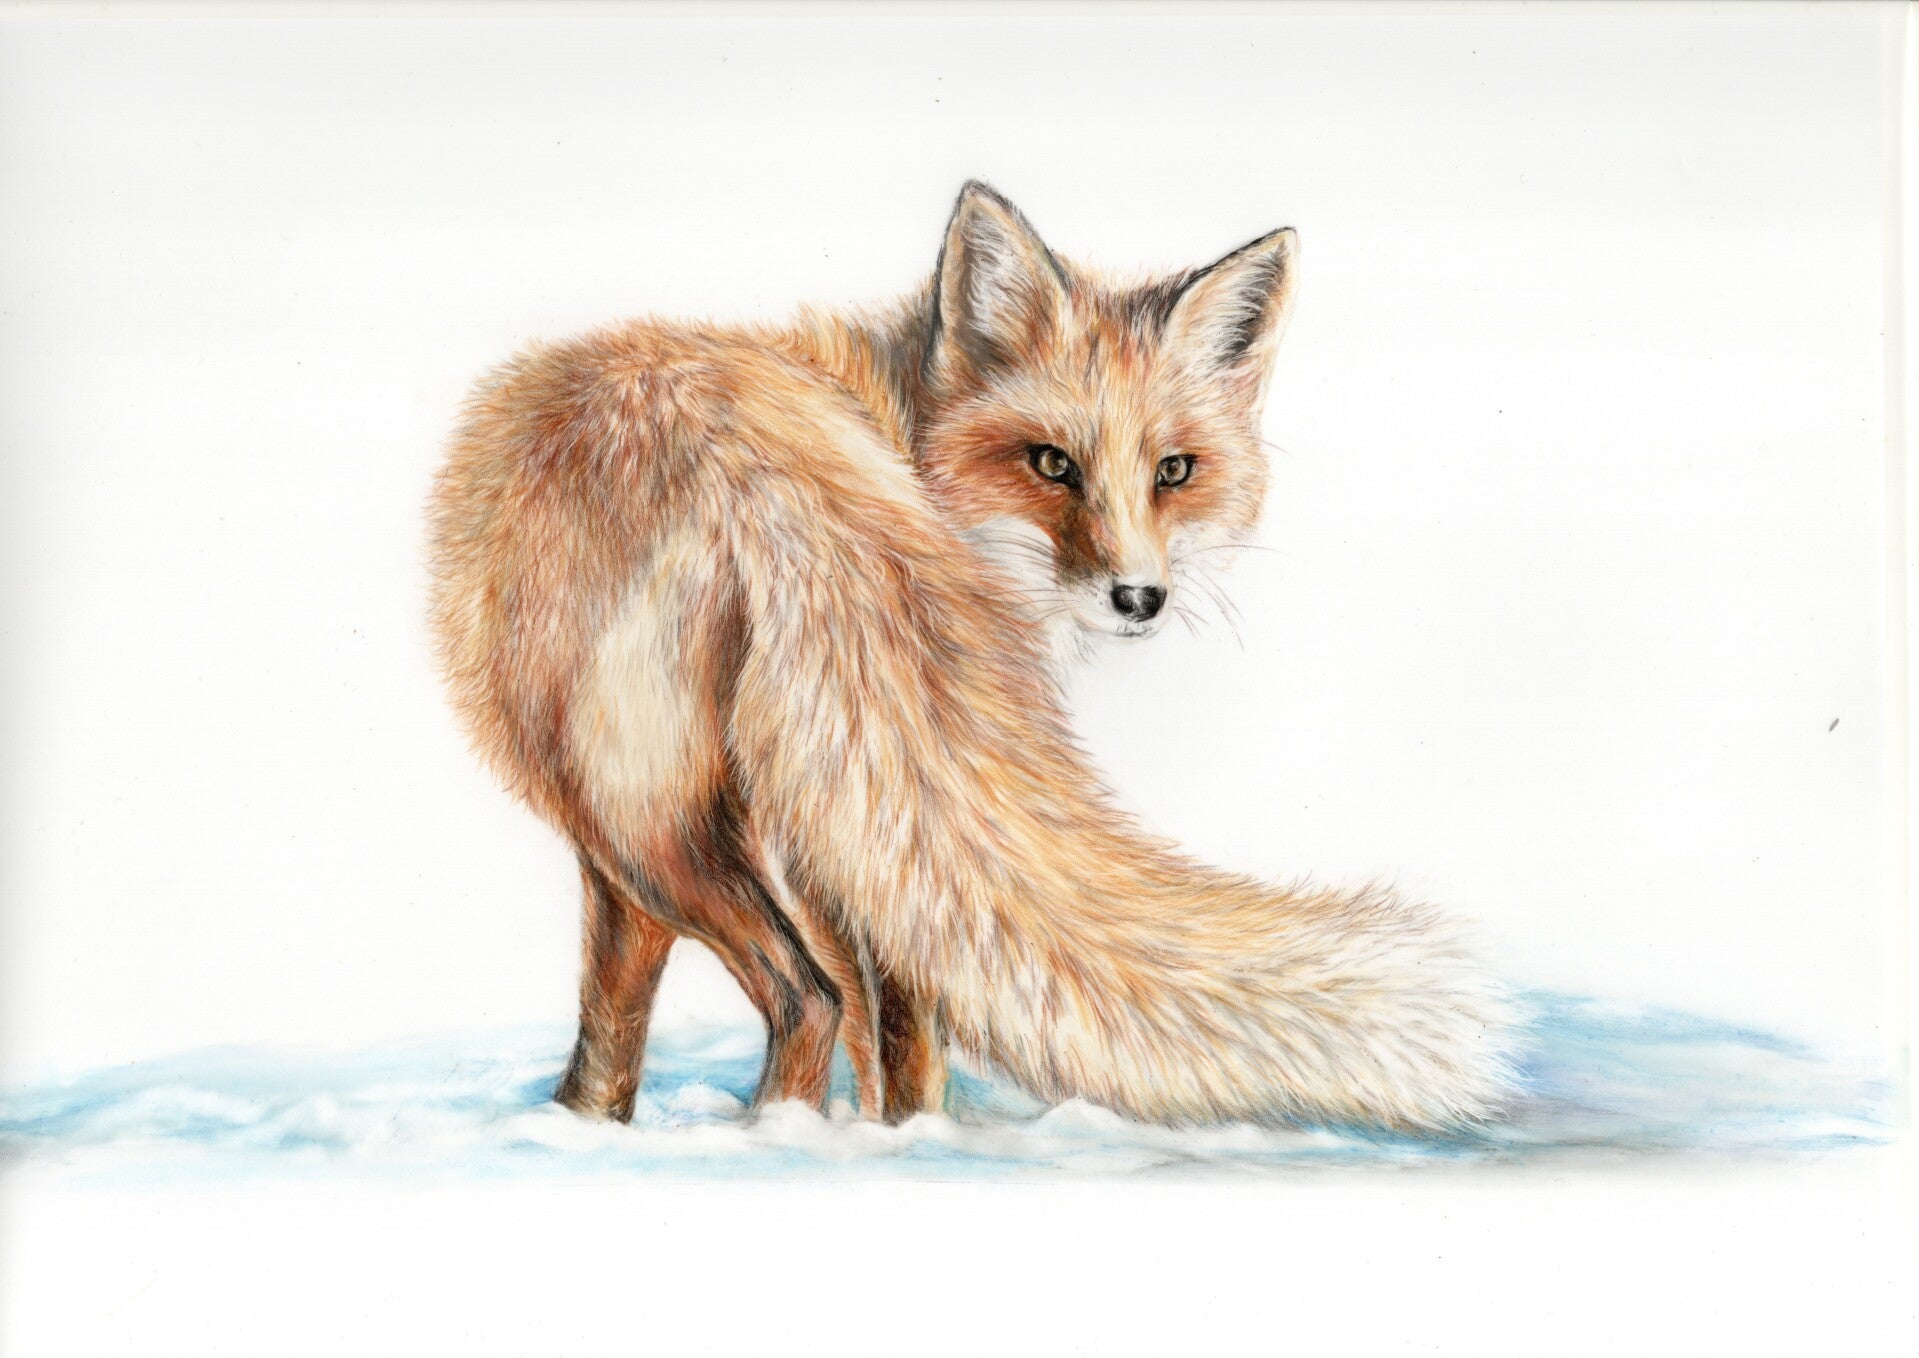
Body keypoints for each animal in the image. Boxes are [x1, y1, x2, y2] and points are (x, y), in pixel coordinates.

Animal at [427, 182, 1515, 1132]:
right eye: (1050, 463)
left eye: (1173, 471)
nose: (1138, 598)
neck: (894, 420)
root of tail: (743, 450)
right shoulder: (826, 818)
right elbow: (864, 1024)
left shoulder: (813, 821)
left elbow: (855, 1022)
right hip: (655, 812)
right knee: (813, 996)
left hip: (645, 814)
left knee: (808, 996)